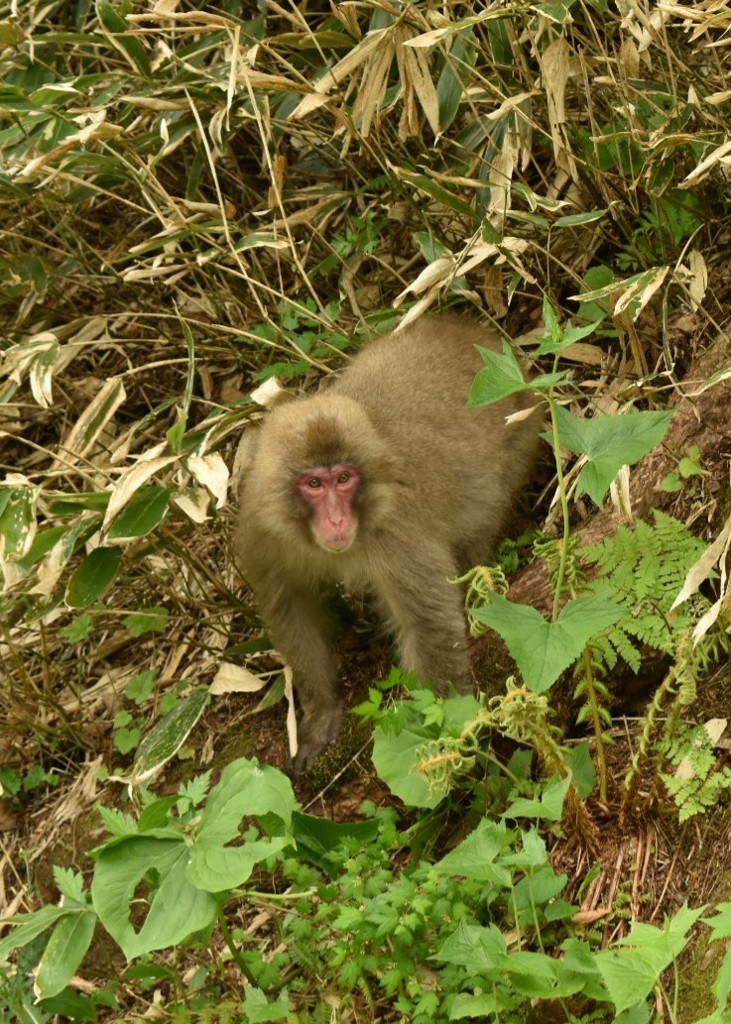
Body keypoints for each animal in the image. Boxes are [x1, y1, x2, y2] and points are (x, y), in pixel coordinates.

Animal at [233, 315, 540, 770]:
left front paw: (447, 737)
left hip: (519, 445)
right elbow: (292, 610)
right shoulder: (263, 531)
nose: (337, 519)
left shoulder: (397, 534)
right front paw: (321, 712)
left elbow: (427, 624)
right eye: (313, 483)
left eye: (344, 478)